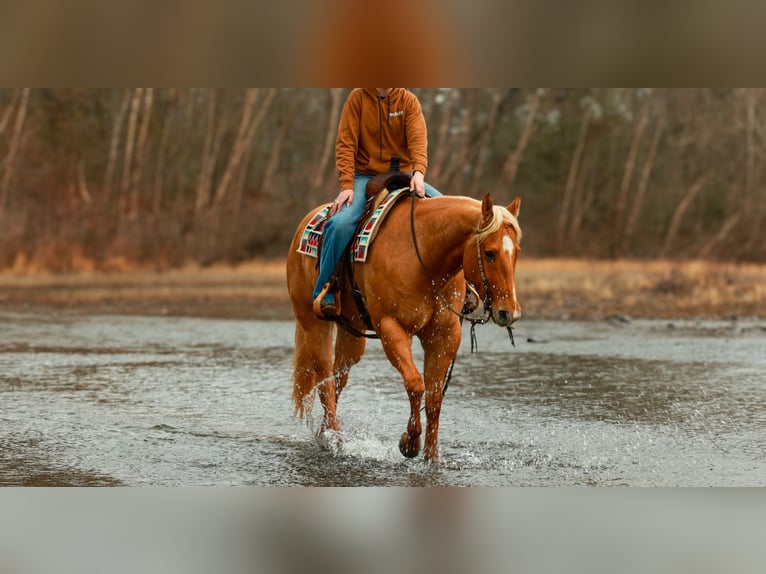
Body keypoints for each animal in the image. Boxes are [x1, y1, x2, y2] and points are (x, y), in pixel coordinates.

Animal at [286, 192, 522, 464]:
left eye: (516, 252)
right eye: (490, 253)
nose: (509, 312)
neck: (424, 258)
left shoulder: (444, 337)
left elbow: (434, 398)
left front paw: (431, 457)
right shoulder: (392, 329)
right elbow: (415, 384)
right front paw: (409, 443)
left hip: (352, 333)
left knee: (338, 378)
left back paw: (327, 432)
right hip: (314, 323)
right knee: (324, 377)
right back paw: (335, 439)